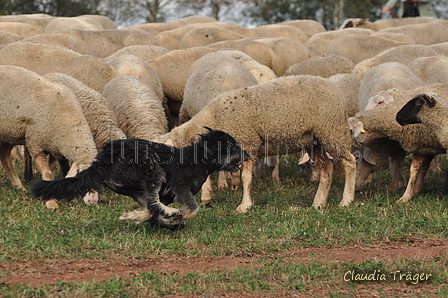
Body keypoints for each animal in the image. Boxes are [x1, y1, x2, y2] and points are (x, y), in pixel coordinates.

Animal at [32, 128, 248, 230]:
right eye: (234, 146)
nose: (248, 155)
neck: (199, 158)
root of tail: (104, 158)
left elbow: (152, 214)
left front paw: (137, 216)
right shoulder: (180, 184)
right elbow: (192, 208)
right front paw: (180, 216)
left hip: (136, 184)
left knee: (152, 206)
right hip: (151, 167)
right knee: (154, 202)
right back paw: (170, 213)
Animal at [156, 75, 356, 213]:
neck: (213, 118)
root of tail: (336, 89)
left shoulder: (247, 144)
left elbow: (246, 178)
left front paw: (245, 205)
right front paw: (206, 198)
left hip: (332, 132)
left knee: (350, 163)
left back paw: (346, 201)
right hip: (314, 141)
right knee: (327, 169)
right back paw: (318, 203)